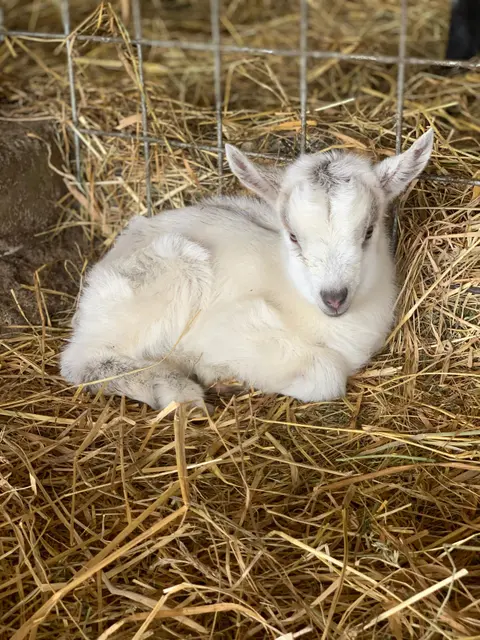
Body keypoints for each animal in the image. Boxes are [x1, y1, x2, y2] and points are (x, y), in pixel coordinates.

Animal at [60, 130, 434, 409]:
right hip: (168, 278)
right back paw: (178, 392)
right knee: (83, 362)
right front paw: (216, 373)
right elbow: (326, 375)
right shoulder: (231, 327)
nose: (334, 297)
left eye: (369, 231)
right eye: (293, 236)